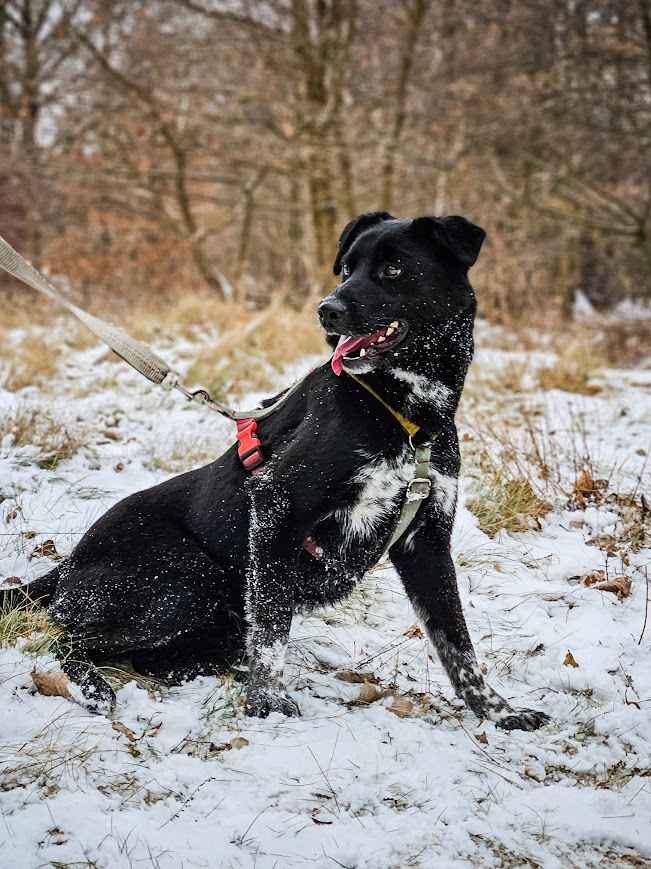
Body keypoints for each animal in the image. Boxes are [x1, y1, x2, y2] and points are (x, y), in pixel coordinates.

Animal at [7, 214, 552, 728]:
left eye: (394, 268)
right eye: (347, 267)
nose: (327, 310)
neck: (404, 411)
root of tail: (67, 566)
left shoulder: (427, 540)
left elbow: (458, 643)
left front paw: (497, 712)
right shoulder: (277, 505)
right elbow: (270, 628)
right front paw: (267, 702)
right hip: (185, 579)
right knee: (64, 637)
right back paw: (93, 685)